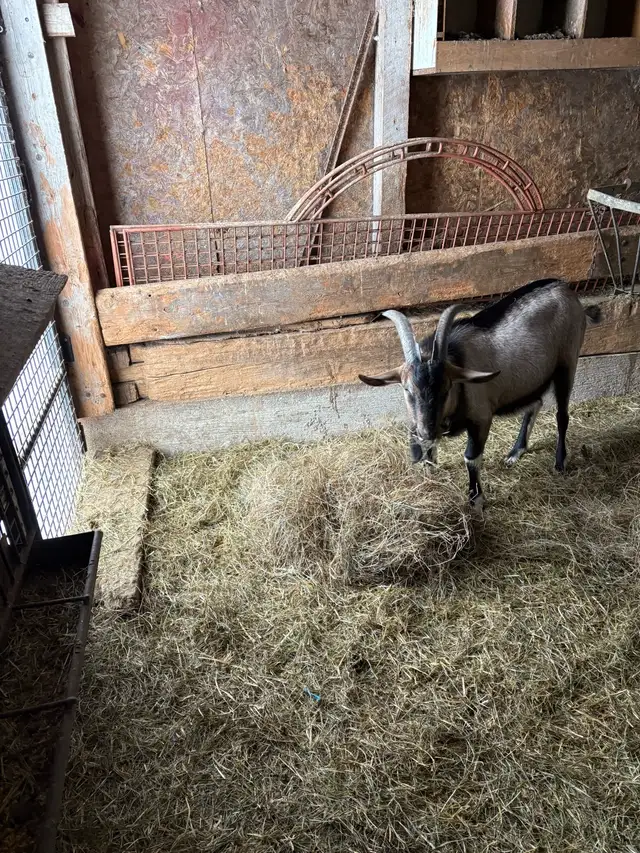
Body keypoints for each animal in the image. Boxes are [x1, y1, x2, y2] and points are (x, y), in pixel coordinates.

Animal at [359, 279, 601, 510]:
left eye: (447, 387)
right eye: (407, 389)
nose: (427, 431)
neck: (457, 356)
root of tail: (566, 290)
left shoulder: (481, 418)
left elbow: (471, 458)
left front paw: (476, 501)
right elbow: (428, 452)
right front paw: (431, 476)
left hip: (567, 363)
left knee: (562, 415)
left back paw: (559, 463)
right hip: (530, 379)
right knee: (535, 403)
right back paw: (515, 452)